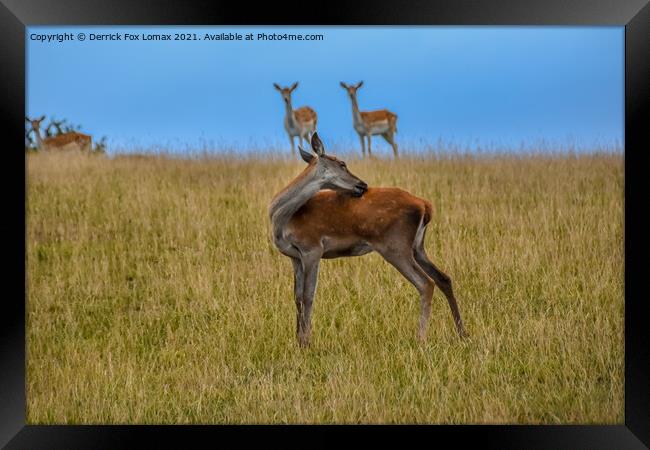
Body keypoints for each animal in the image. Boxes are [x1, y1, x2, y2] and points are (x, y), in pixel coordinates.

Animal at [268, 132, 466, 346]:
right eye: (342, 163)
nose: (362, 184)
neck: (283, 218)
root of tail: (425, 206)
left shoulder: (312, 248)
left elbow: (308, 295)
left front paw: (305, 342)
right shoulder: (294, 256)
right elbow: (297, 296)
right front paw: (297, 339)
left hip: (395, 247)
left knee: (426, 283)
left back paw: (420, 338)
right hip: (417, 247)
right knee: (443, 278)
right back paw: (462, 333)